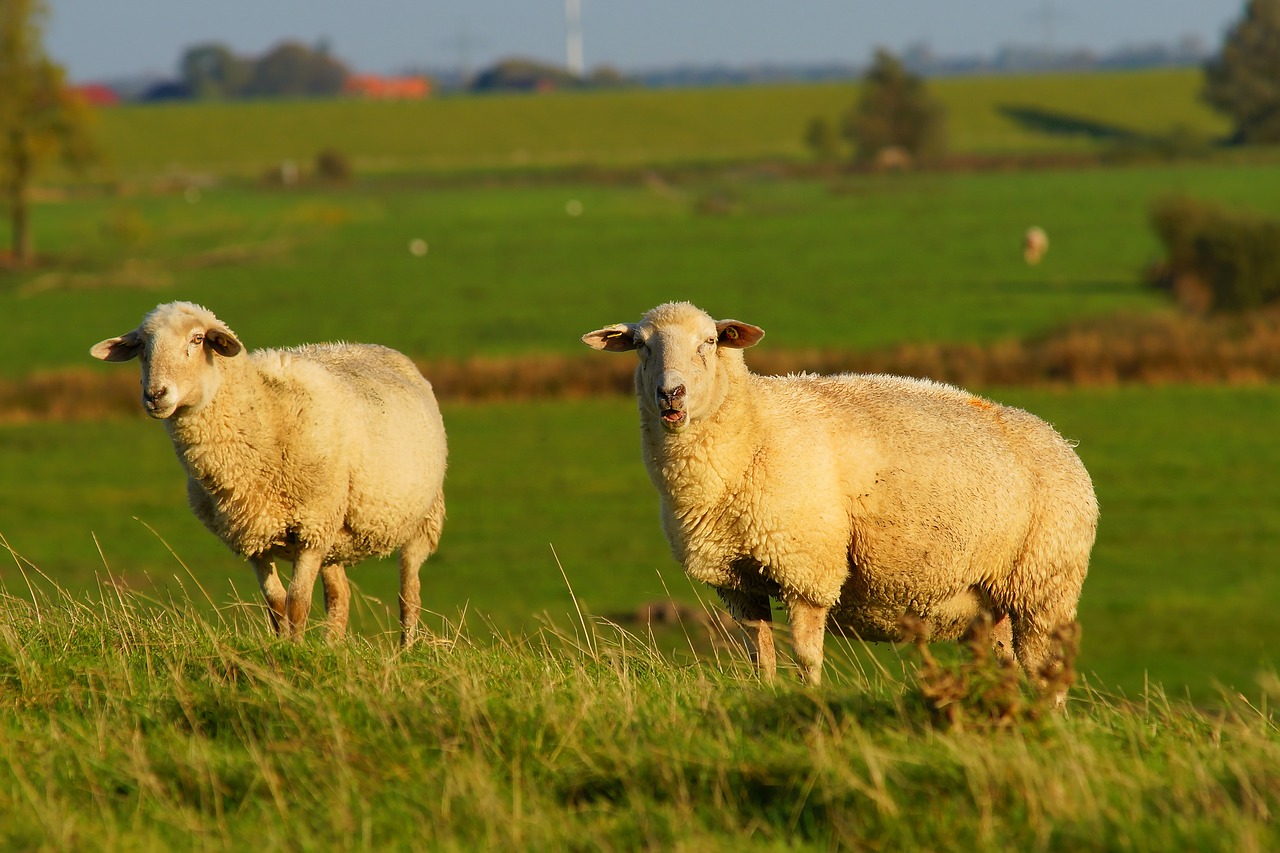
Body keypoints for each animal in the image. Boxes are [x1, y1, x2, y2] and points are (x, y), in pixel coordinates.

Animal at [90, 302, 450, 640]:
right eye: (141, 346)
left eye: (197, 339)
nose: (155, 395)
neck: (265, 413)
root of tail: (377, 347)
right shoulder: (252, 533)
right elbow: (276, 604)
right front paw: (283, 645)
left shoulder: (311, 529)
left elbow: (298, 602)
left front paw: (297, 650)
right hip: (334, 534)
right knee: (339, 597)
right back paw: (332, 646)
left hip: (420, 519)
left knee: (409, 597)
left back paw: (404, 650)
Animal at [586, 298, 1095, 691]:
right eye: (642, 345)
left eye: (709, 342)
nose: (671, 394)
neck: (753, 429)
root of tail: (1062, 443)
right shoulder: (737, 580)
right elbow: (761, 657)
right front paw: (766, 695)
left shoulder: (807, 567)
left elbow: (806, 657)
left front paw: (809, 700)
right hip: (993, 600)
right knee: (1006, 664)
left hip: (1046, 584)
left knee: (1046, 671)